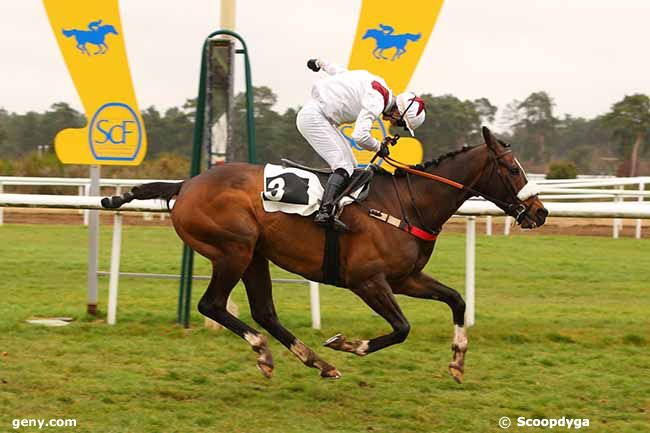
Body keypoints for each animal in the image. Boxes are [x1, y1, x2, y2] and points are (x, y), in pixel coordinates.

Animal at [102, 127, 548, 382]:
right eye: (512, 170)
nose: (540, 212)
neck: (409, 204)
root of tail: (187, 184)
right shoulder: (367, 281)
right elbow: (401, 328)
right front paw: (347, 343)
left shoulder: (405, 278)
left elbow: (456, 299)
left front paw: (457, 362)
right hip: (234, 249)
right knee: (213, 304)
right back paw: (267, 351)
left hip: (255, 255)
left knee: (265, 312)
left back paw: (315, 362)